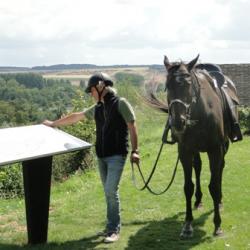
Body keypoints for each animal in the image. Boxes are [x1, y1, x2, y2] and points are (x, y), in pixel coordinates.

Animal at [148, 54, 242, 238]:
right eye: (167, 86)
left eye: (188, 84)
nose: (178, 122)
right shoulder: (185, 151)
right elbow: (188, 187)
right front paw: (187, 225)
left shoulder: (215, 150)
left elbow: (214, 186)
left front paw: (217, 225)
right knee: (197, 168)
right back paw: (198, 201)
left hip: (224, 146)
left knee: (220, 169)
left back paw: (219, 201)